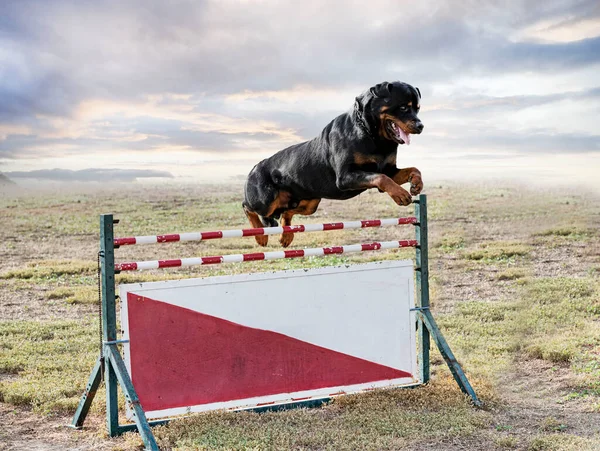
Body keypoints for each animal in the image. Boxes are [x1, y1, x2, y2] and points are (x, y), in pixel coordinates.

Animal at [241, 81, 424, 247]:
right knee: (248, 207)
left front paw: (416, 185)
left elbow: (412, 170)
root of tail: (253, 168)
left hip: (309, 203)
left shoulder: (389, 170)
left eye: (417, 108)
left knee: (287, 212)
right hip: (266, 201)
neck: (371, 135)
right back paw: (261, 237)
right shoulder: (345, 177)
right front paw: (401, 195)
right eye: (403, 107)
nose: (421, 126)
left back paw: (286, 237)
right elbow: (381, 178)